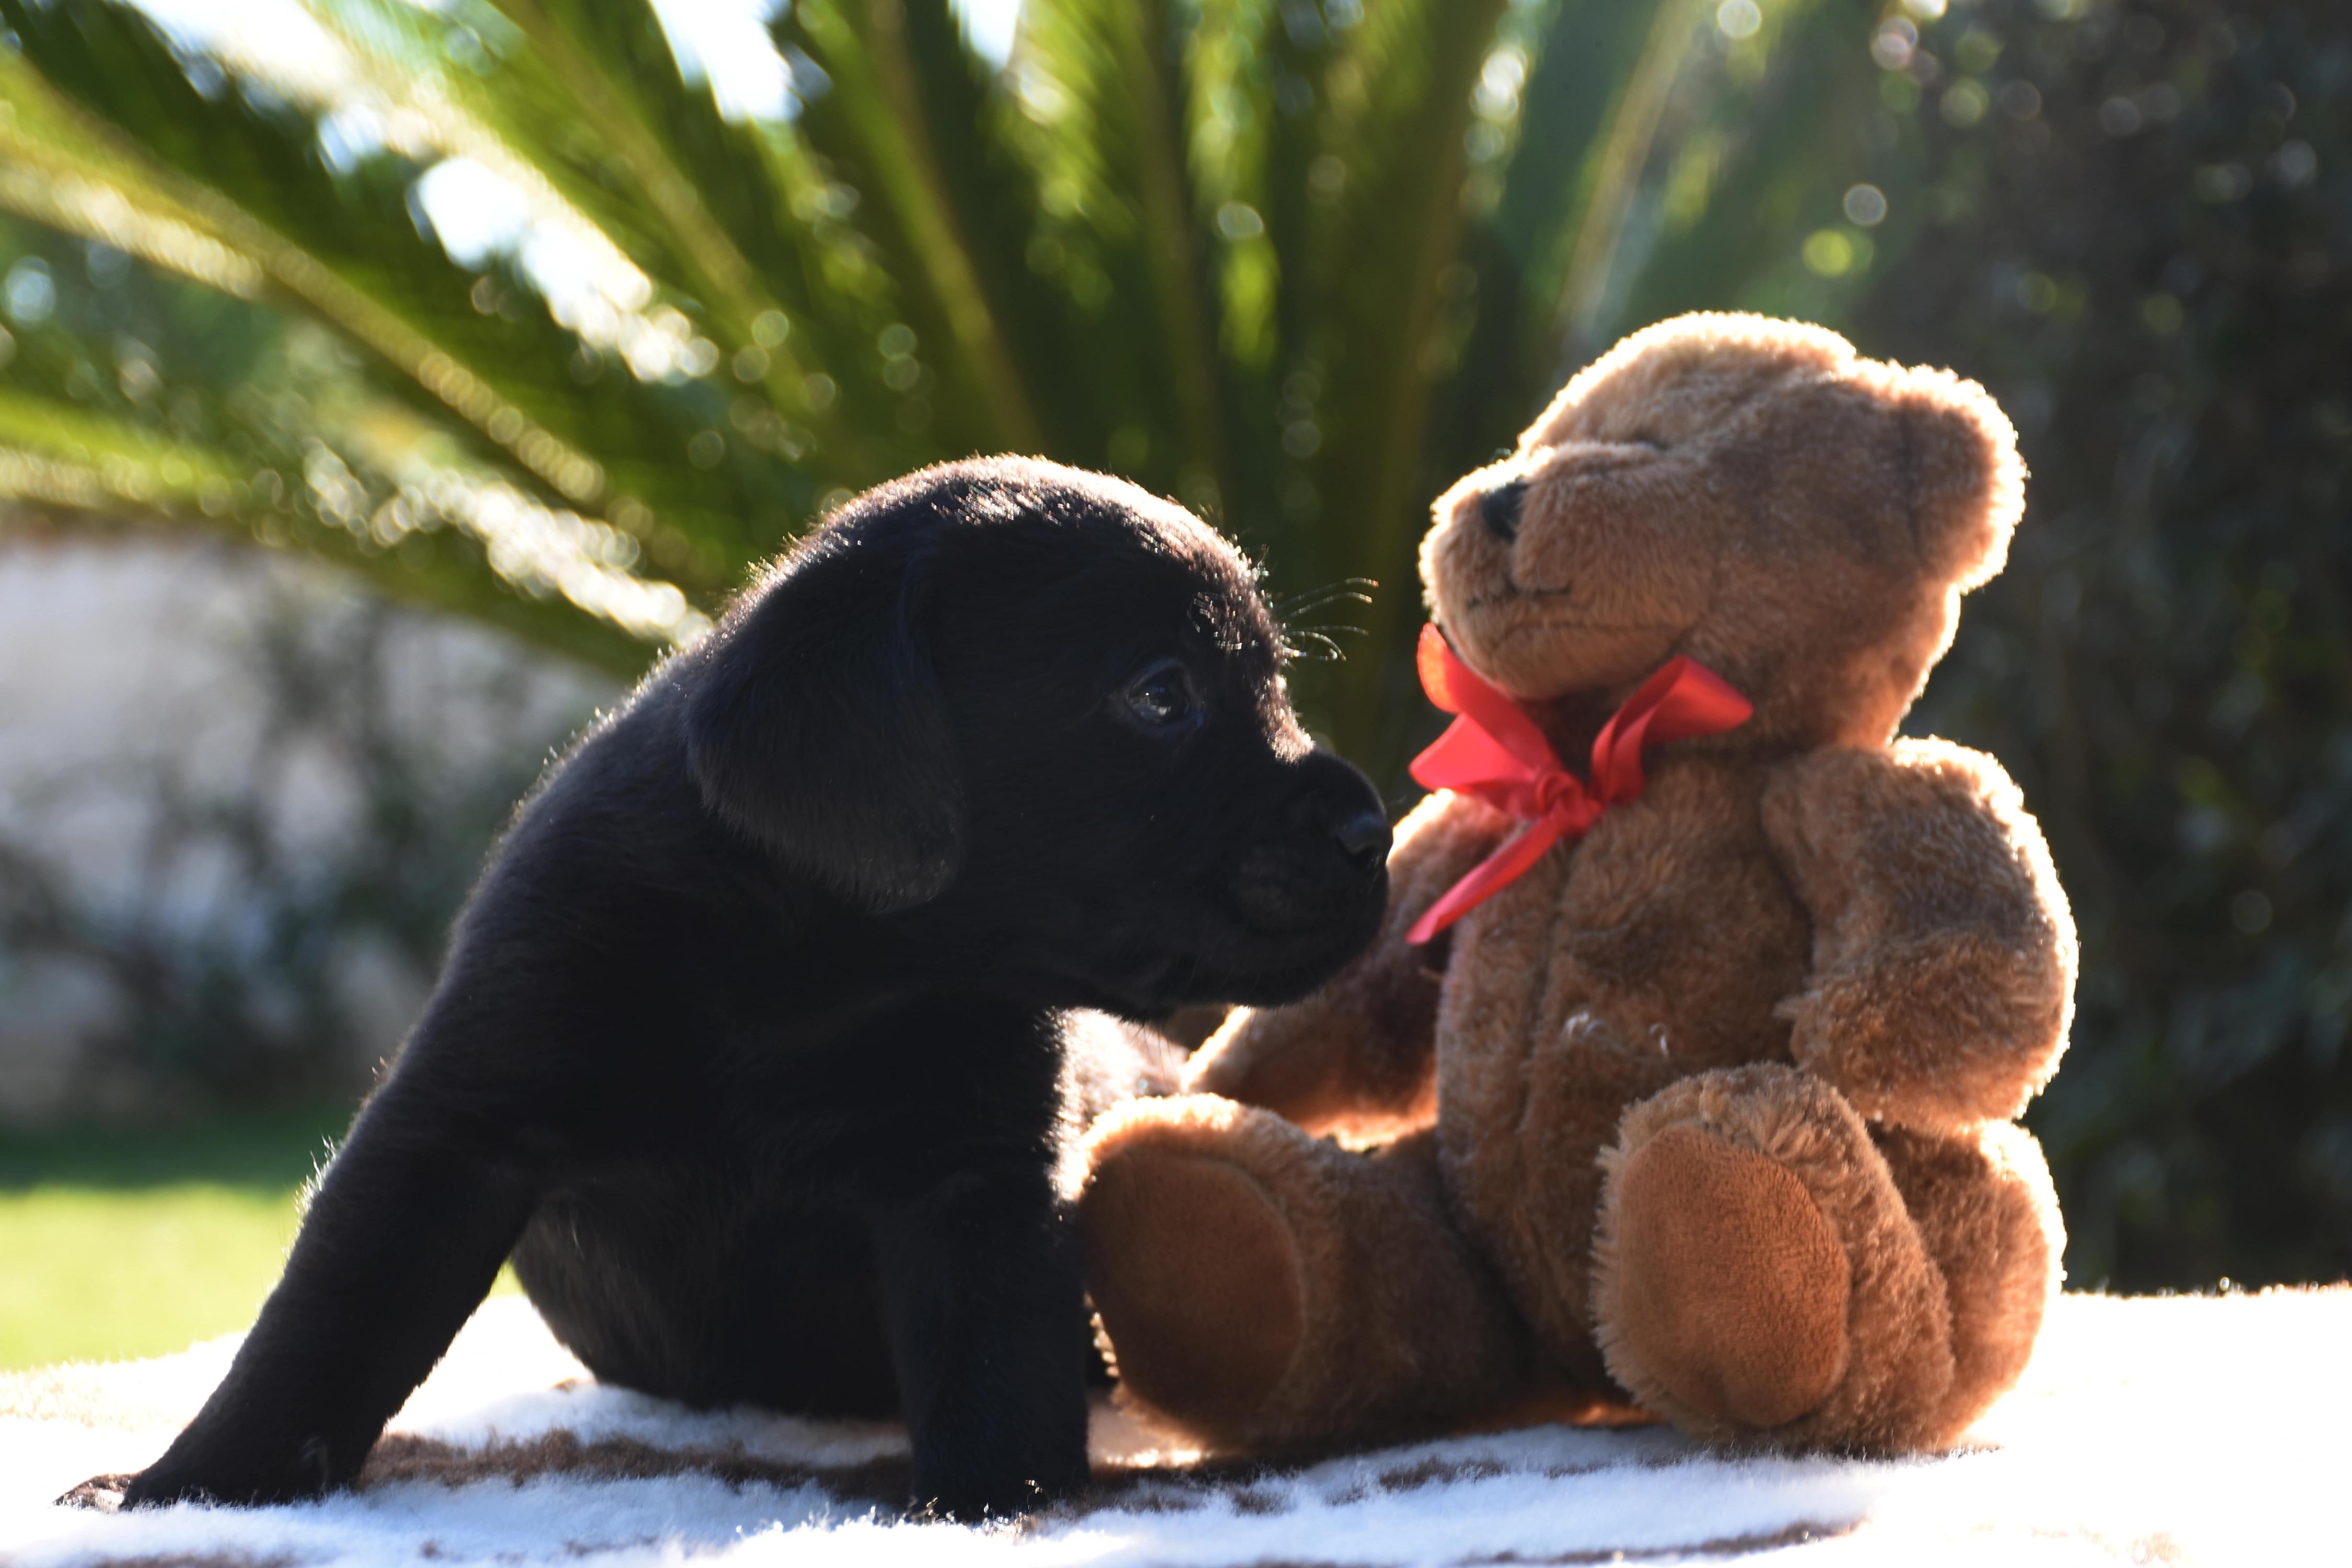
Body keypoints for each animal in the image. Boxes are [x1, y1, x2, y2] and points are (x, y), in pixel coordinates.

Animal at [101, 451, 1392, 1523]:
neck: (802, 970)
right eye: (1162, 695)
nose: (1373, 831)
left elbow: (993, 1363)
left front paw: (992, 1510)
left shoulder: (981, 1179)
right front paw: (188, 1487)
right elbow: (325, 1326)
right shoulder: (452, 1127)